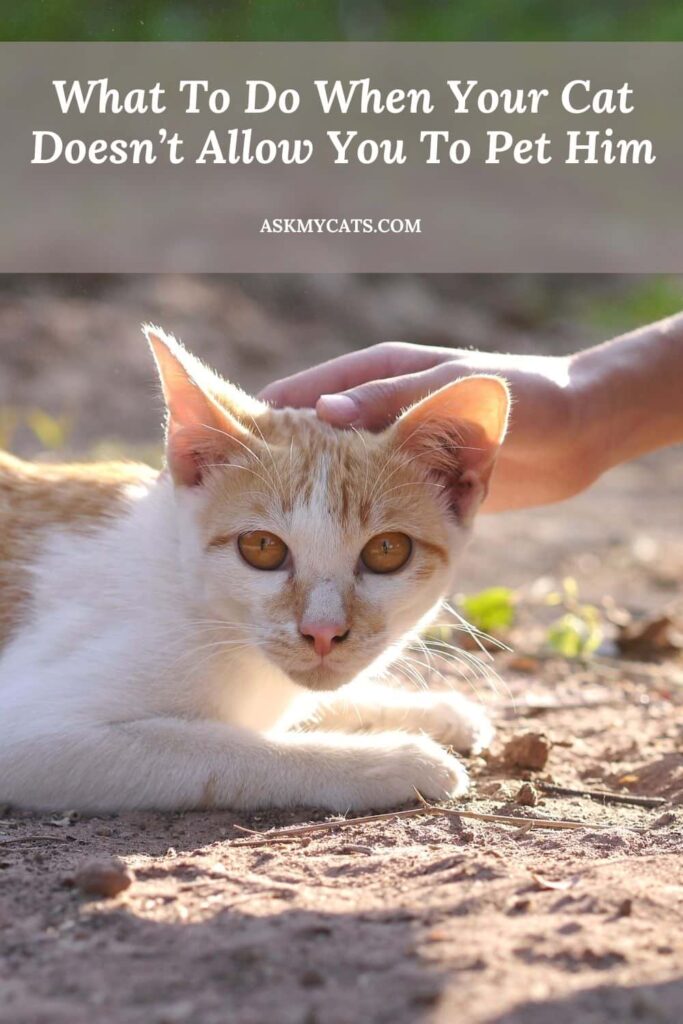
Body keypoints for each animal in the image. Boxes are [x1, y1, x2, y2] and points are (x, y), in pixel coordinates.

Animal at [0, 329, 509, 815]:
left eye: (387, 550)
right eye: (262, 547)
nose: (323, 632)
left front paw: (433, 711)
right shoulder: (29, 730)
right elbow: (225, 750)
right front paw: (395, 760)